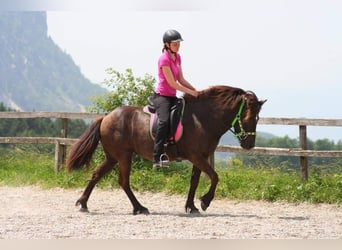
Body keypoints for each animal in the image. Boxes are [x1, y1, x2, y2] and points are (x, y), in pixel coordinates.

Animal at [65, 85, 266, 215]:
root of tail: (106, 117)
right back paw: (139, 208)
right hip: (123, 156)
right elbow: (215, 176)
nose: (249, 145)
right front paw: (205, 202)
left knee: (97, 174)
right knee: (123, 181)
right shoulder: (196, 156)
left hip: (113, 157)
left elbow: (195, 181)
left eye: (257, 118)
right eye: (248, 118)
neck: (204, 119)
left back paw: (83, 203)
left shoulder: (200, 157)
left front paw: (191, 206)